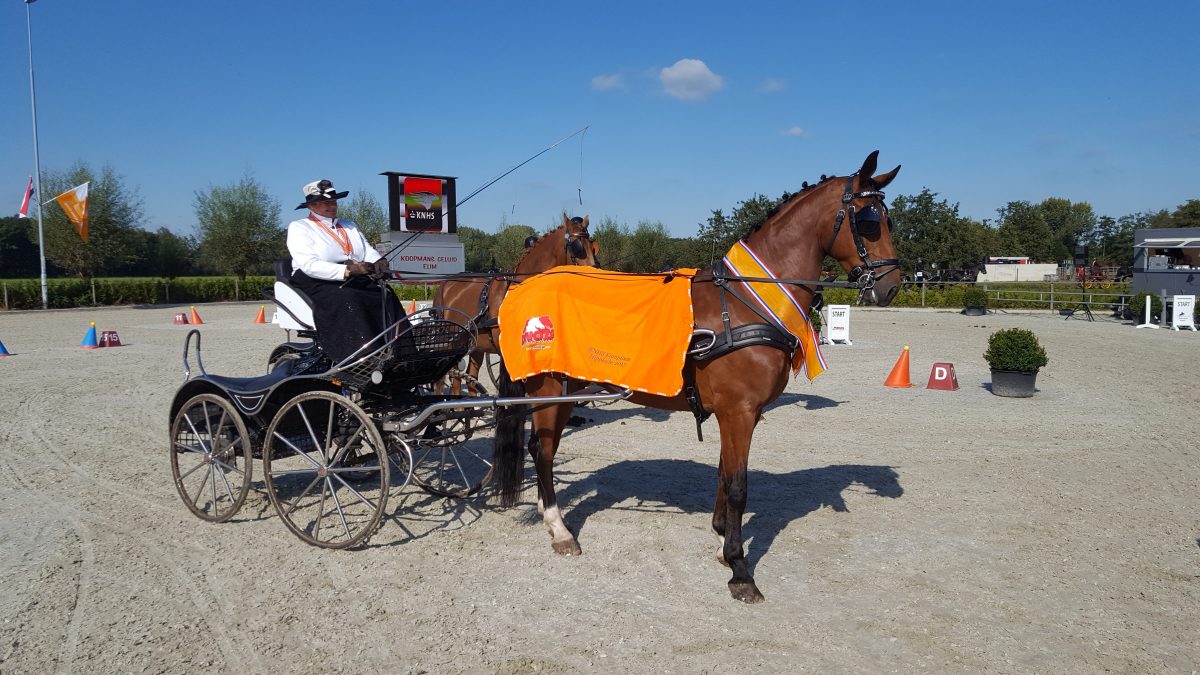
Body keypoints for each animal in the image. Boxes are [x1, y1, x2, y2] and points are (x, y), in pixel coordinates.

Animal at [434, 213, 597, 393]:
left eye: (592, 245)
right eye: (578, 247)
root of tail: (446, 283)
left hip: (476, 344)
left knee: (467, 380)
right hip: (450, 342)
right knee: (445, 379)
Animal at [494, 151, 902, 598]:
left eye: (888, 218)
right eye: (868, 219)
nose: (892, 286)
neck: (743, 301)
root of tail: (523, 289)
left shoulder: (738, 413)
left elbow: (725, 476)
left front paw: (723, 540)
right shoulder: (739, 411)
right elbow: (739, 486)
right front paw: (740, 569)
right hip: (549, 389)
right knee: (543, 451)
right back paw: (559, 528)